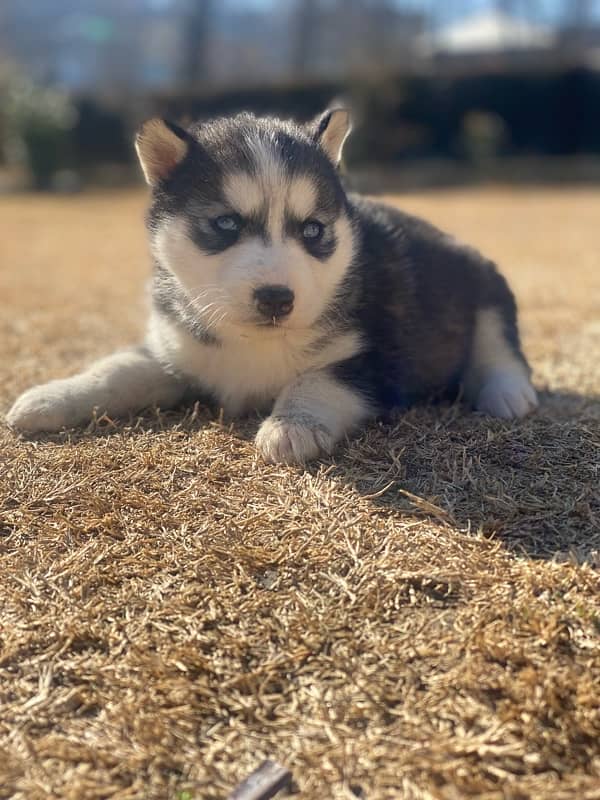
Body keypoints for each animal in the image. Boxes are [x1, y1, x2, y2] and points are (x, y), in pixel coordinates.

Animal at [7, 109, 536, 466]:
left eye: (313, 230)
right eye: (226, 223)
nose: (278, 299)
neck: (252, 344)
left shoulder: (378, 360)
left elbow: (316, 378)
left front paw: (290, 426)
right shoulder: (174, 349)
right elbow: (115, 370)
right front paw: (52, 396)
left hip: (484, 280)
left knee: (498, 346)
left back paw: (509, 392)